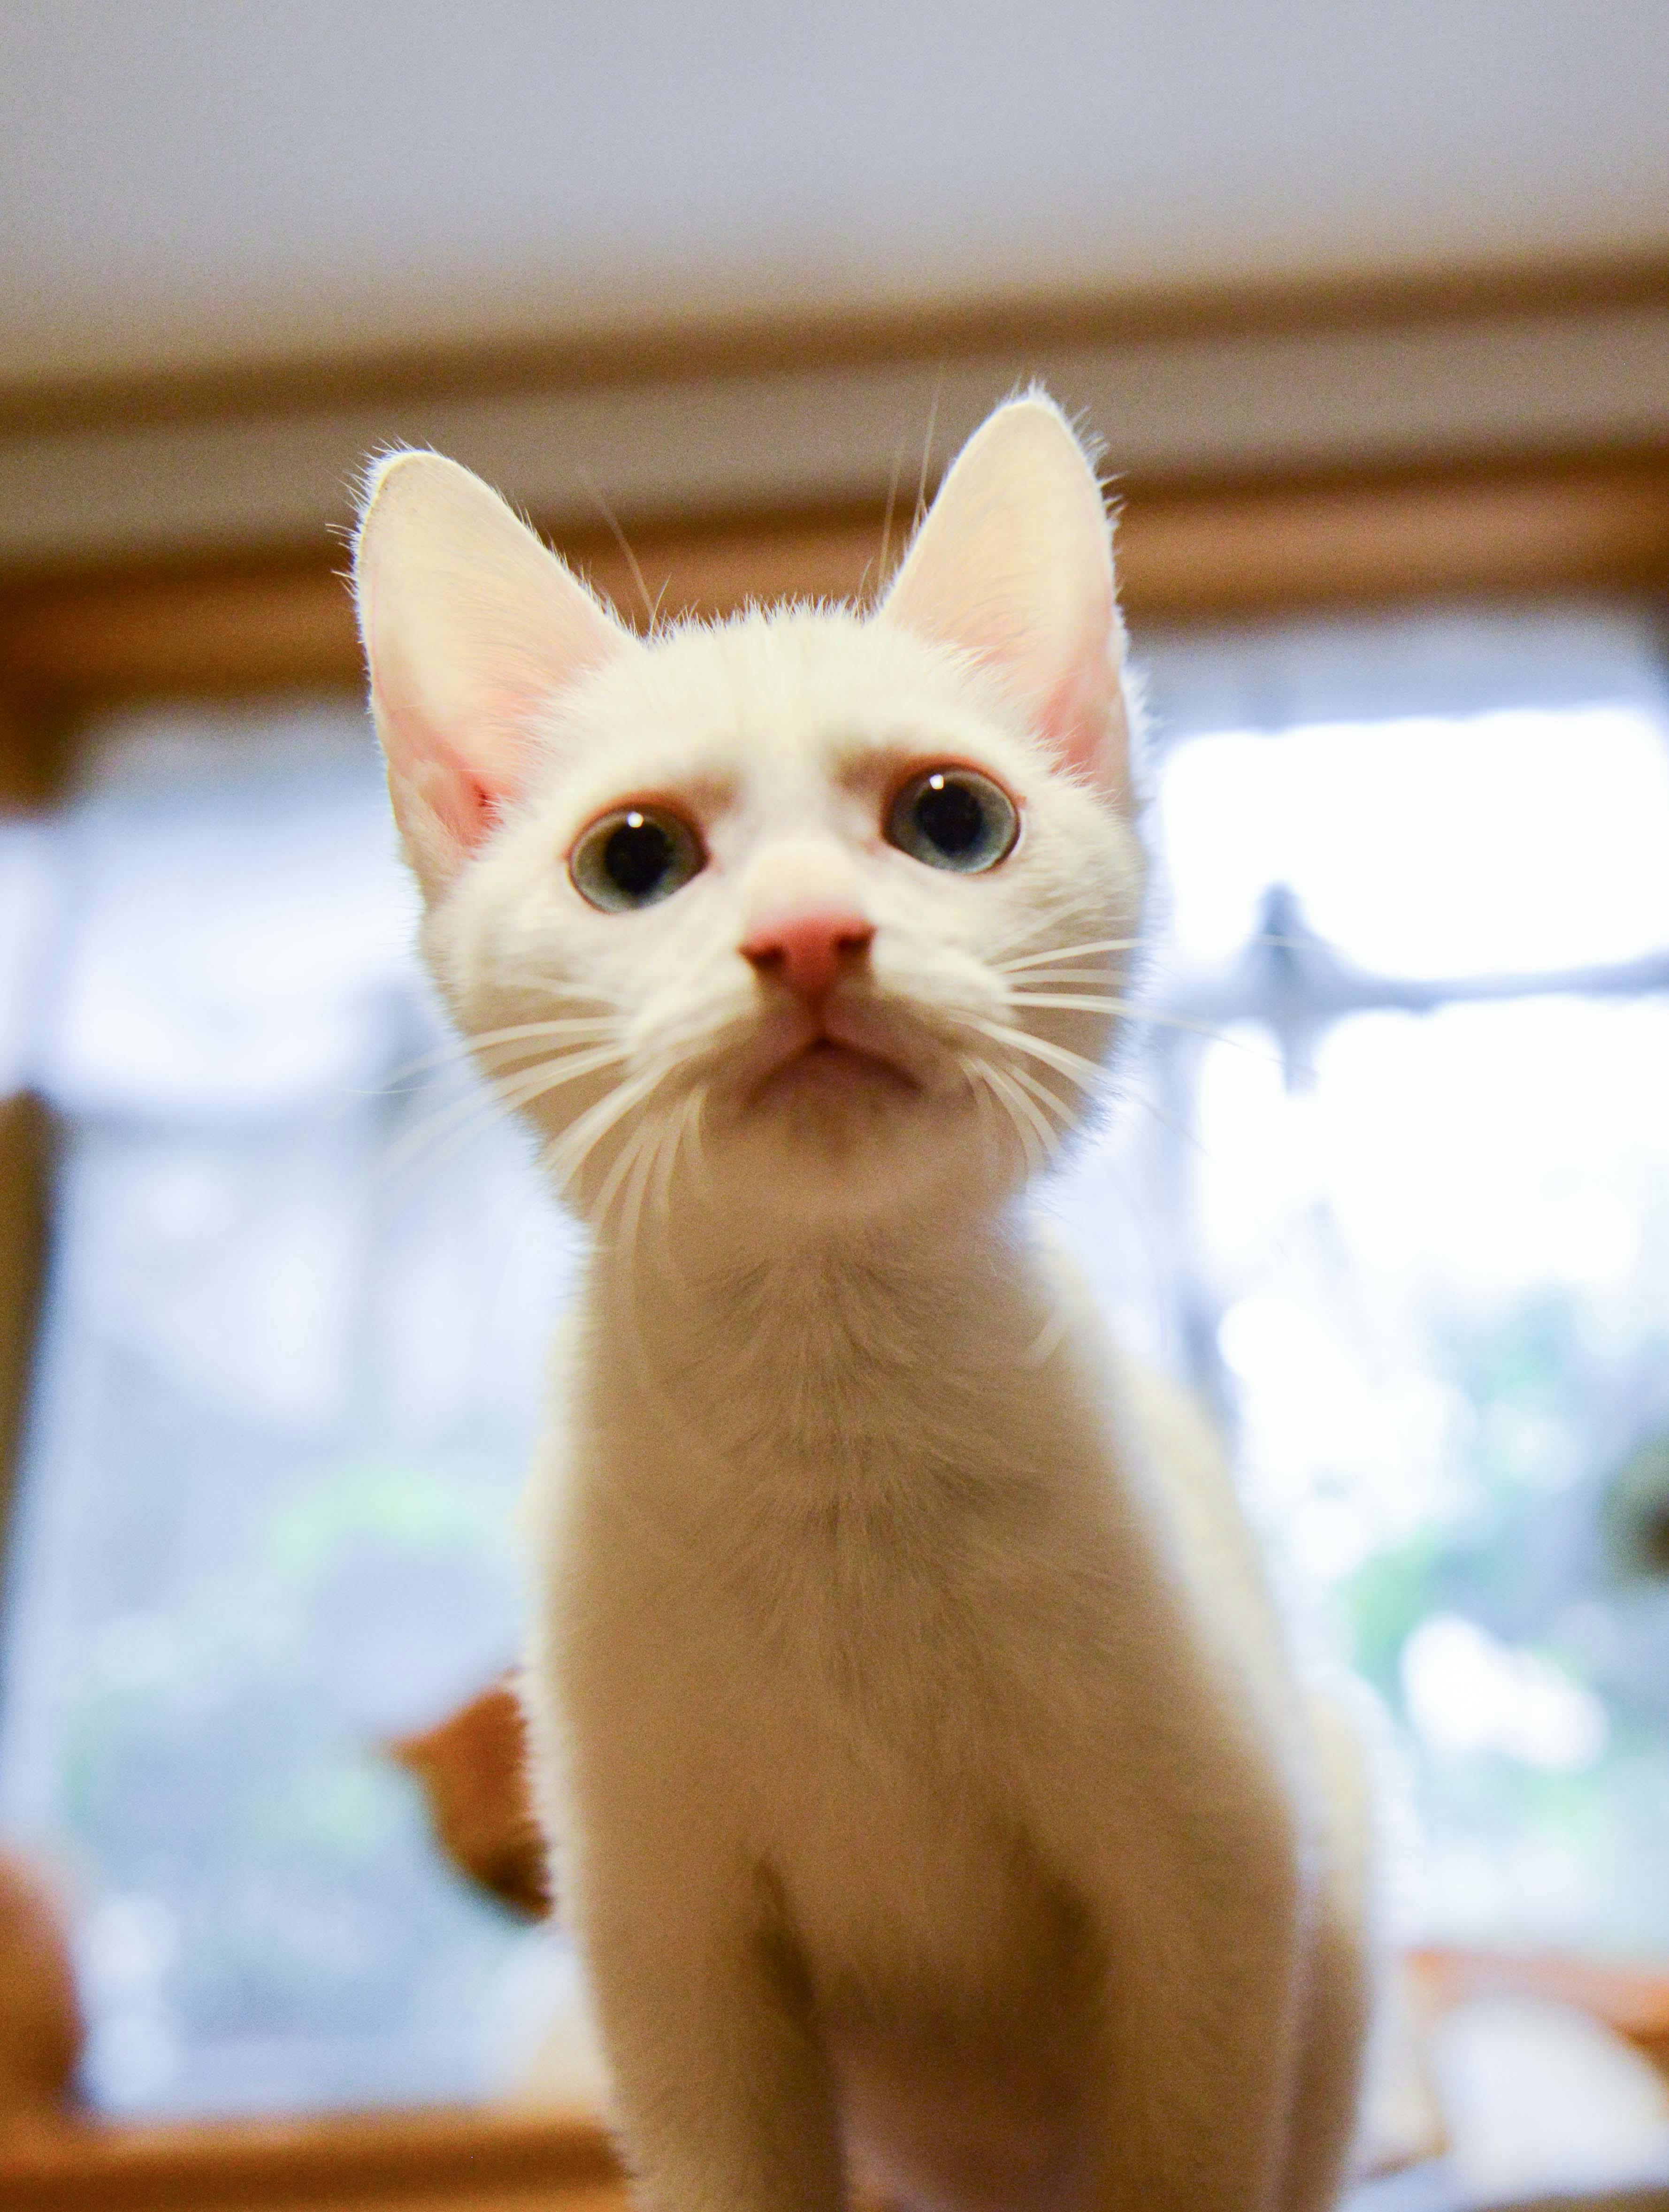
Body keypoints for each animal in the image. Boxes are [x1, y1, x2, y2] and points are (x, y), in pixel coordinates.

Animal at [352, 402, 1363, 2212]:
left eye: (952, 822)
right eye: (632, 857)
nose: (809, 934)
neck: (832, 1429)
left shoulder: (1218, 1873)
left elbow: (1186, 2135)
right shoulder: (662, 1931)